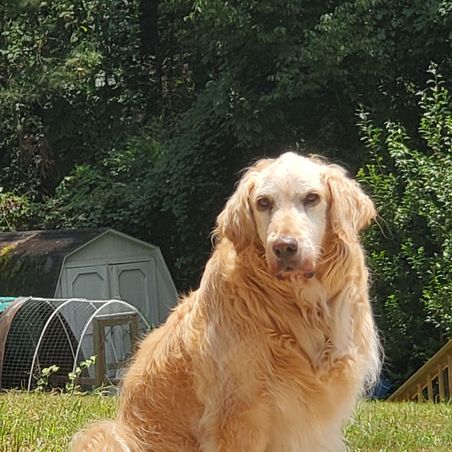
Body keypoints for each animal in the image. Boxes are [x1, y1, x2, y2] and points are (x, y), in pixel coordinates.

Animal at [71, 152, 380, 451]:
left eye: (312, 198)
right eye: (263, 203)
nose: (284, 247)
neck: (298, 305)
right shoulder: (238, 415)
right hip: (108, 435)